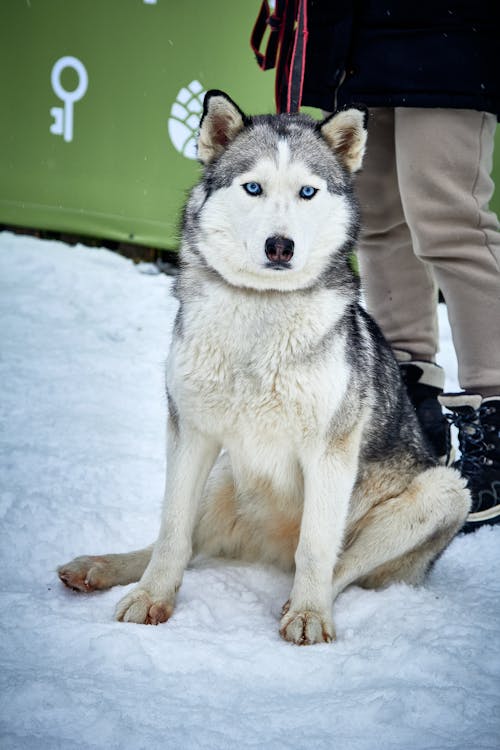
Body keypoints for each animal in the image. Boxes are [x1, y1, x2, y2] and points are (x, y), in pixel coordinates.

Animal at [58, 92, 468, 648]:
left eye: (307, 192)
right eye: (253, 187)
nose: (280, 245)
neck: (261, 312)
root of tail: (265, 548)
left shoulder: (331, 451)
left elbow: (317, 549)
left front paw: (310, 615)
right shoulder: (190, 433)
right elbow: (170, 533)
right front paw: (151, 598)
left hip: (446, 492)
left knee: (336, 563)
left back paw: (299, 604)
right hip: (223, 475)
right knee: (183, 541)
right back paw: (99, 567)